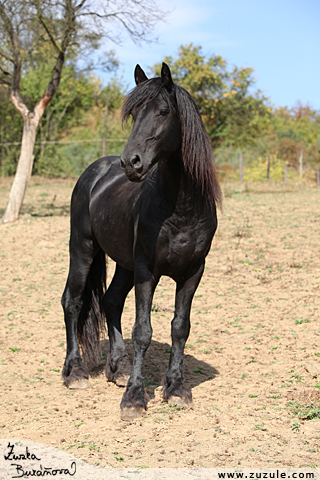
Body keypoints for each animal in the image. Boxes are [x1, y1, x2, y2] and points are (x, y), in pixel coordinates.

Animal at [62, 62, 222, 418]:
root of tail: (96, 170)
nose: (130, 163)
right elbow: (143, 331)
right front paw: (134, 398)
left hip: (124, 263)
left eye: (164, 112)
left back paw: (118, 369)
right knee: (72, 301)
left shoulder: (193, 272)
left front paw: (176, 388)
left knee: (110, 301)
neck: (181, 208)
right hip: (82, 248)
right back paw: (75, 373)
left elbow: (180, 327)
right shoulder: (148, 271)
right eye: (134, 113)